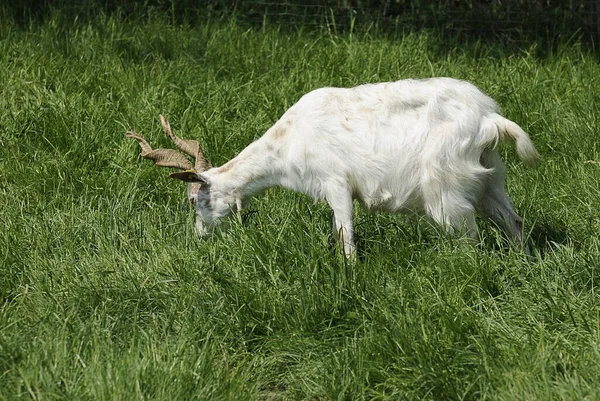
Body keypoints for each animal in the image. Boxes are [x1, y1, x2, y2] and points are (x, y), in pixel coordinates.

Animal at [127, 77, 540, 256]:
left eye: (195, 200)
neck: (289, 139)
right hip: (490, 178)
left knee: (469, 236)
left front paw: (350, 273)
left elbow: (345, 235)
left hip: (447, 190)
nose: (199, 238)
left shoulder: (336, 183)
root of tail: (488, 119)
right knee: (515, 221)